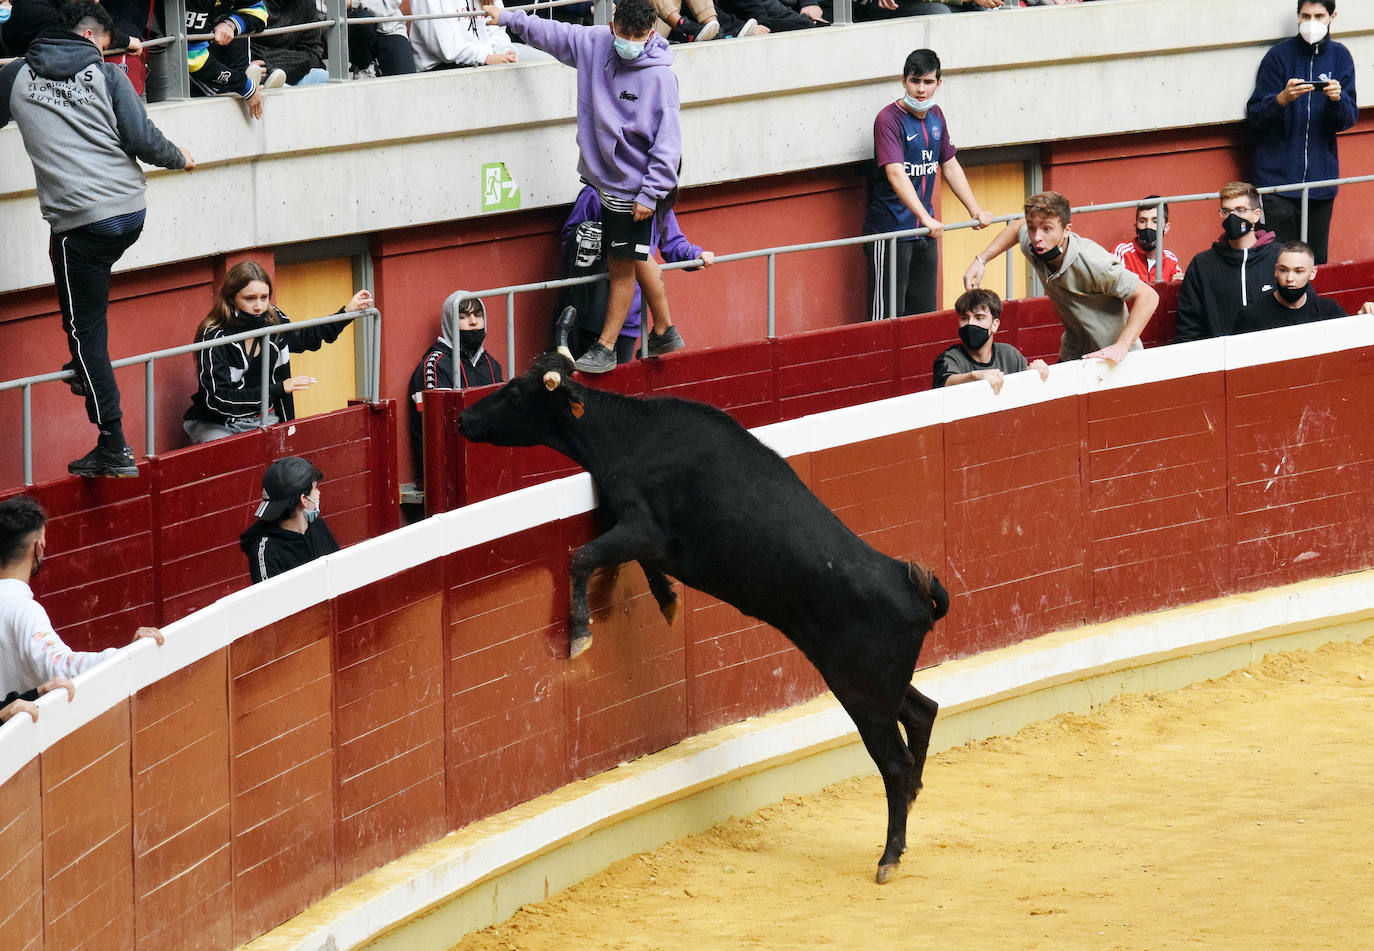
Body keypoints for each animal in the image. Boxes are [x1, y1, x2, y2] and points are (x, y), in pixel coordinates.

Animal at [456, 351, 950, 879]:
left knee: (894, 762)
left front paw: (579, 635)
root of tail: (911, 586)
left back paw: (890, 856)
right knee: (923, 712)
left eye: (513, 390)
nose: (463, 418)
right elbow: (638, 566)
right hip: (872, 681)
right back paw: (913, 802)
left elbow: (582, 558)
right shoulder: (650, 541)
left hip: (861, 691)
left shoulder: (642, 528)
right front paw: (667, 599)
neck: (633, 435)